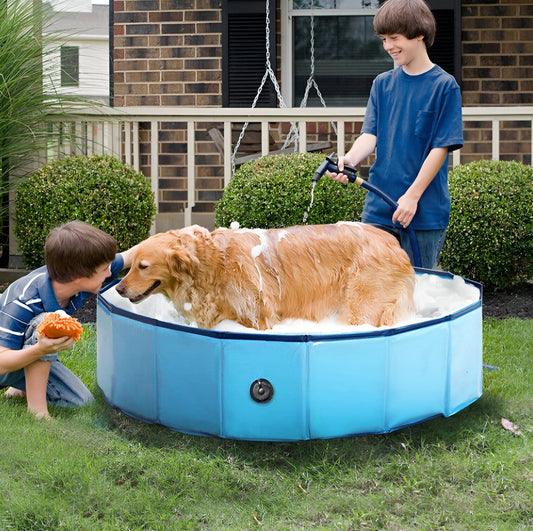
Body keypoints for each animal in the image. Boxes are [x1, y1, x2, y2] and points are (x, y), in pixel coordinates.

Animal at [116, 222, 416, 330]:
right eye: (132, 264)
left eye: (143, 266)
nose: (118, 289)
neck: (212, 264)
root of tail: (395, 244)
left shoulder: (257, 318)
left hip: (361, 307)